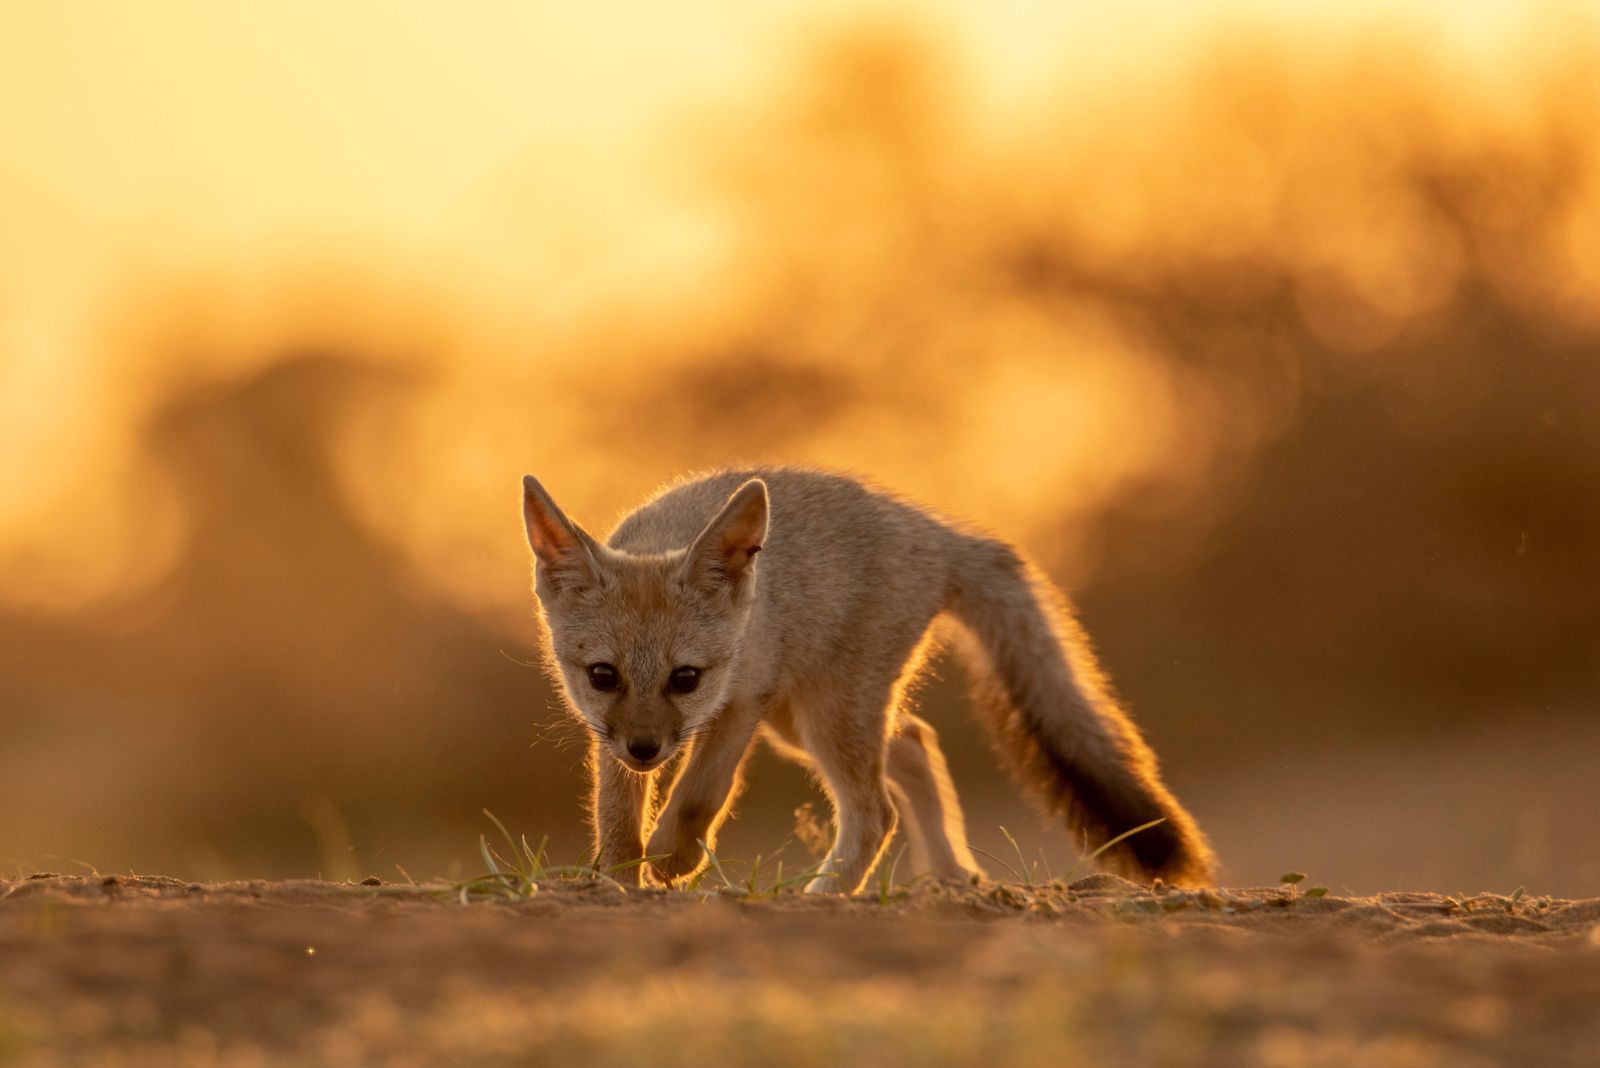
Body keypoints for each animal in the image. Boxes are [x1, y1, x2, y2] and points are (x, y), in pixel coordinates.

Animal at [521, 466, 1209, 895]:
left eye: (685, 678)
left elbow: (698, 794)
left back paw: (824, 894)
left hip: (823, 716)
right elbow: (616, 816)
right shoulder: (610, 734)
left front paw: (671, 858)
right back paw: (950, 877)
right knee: (915, 744)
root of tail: (936, 532)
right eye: (603, 675)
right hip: (806, 723)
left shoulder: (742, 700)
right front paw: (620, 880)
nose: (645, 749)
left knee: (877, 809)